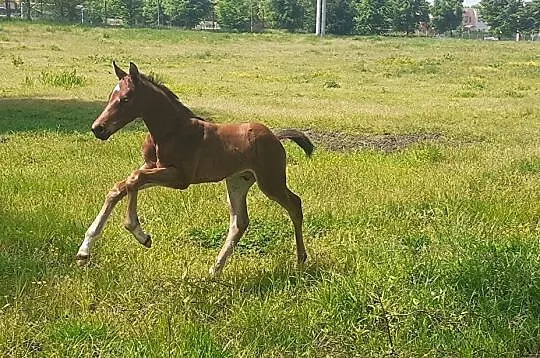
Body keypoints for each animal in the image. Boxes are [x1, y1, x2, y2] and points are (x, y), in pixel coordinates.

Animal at [74, 62, 314, 276]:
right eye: (109, 97)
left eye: (125, 99)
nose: (98, 128)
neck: (171, 131)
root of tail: (275, 136)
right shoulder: (154, 167)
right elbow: (120, 187)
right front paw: (84, 251)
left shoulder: (180, 178)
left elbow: (135, 178)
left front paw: (140, 234)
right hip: (238, 181)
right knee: (240, 221)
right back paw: (215, 270)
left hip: (270, 180)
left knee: (294, 204)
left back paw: (301, 260)